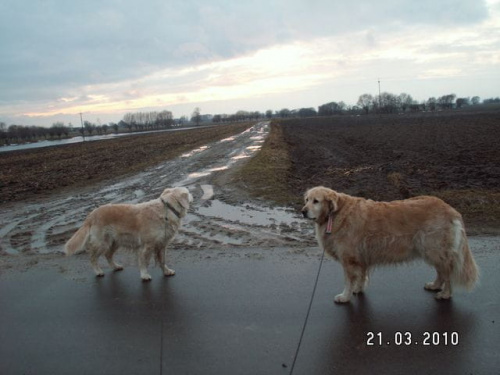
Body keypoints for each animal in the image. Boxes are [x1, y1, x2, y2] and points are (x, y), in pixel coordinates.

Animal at [64, 187, 193, 280]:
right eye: (188, 192)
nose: (192, 195)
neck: (167, 209)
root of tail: (91, 215)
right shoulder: (146, 246)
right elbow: (144, 262)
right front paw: (144, 275)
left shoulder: (161, 245)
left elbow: (162, 261)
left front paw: (166, 271)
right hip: (102, 243)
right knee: (93, 258)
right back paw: (98, 271)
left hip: (115, 242)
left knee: (108, 255)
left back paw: (116, 266)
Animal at [302, 187, 478, 304]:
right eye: (306, 200)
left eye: (316, 201)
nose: (303, 211)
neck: (335, 213)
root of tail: (450, 209)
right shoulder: (361, 256)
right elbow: (361, 275)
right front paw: (358, 289)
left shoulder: (349, 259)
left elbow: (348, 280)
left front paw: (345, 296)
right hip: (431, 251)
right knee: (441, 272)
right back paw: (435, 285)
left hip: (434, 249)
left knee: (447, 273)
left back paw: (445, 293)